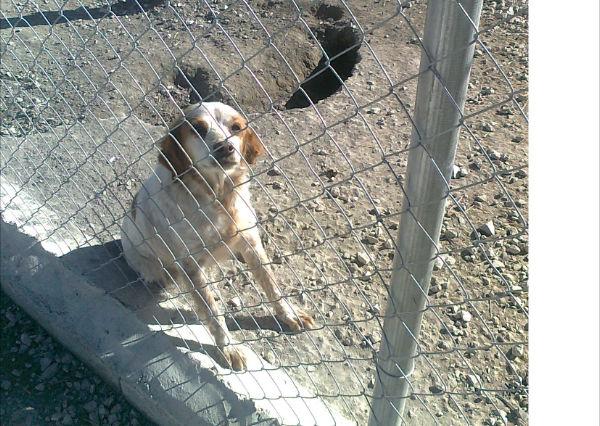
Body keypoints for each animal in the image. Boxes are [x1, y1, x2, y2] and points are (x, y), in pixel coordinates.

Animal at [122, 100, 316, 370]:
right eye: (198, 128)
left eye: (236, 127)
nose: (225, 147)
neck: (219, 196)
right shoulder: (190, 265)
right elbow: (213, 313)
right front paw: (229, 348)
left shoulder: (251, 241)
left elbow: (271, 285)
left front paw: (289, 314)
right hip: (154, 267)